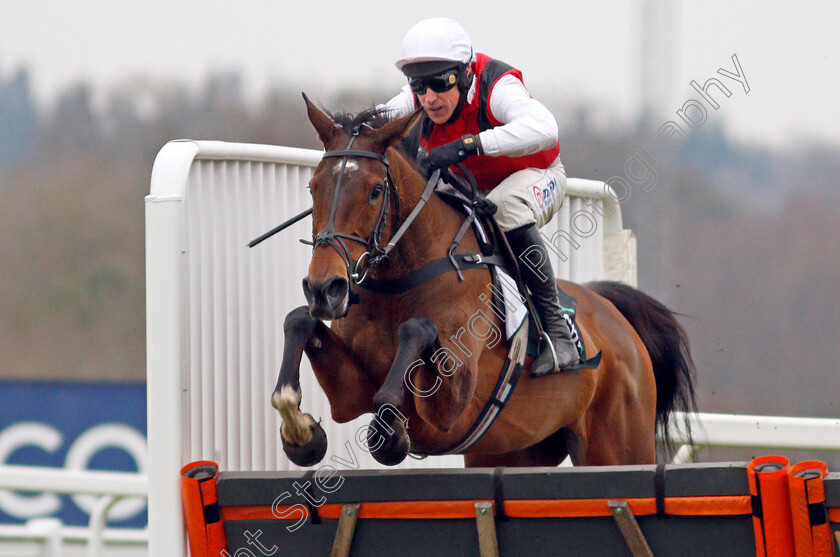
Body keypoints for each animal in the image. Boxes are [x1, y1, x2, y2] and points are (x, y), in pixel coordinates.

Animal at [270, 93, 696, 466]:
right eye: (313, 187)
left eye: (376, 191)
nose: (325, 288)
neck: (398, 281)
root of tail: (616, 317)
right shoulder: (350, 394)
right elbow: (298, 321)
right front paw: (301, 432)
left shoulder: (449, 406)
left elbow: (416, 332)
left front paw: (389, 431)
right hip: (513, 450)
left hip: (620, 447)